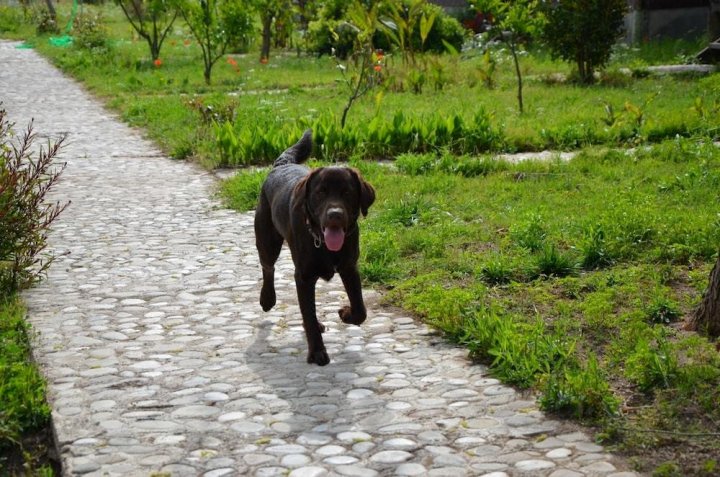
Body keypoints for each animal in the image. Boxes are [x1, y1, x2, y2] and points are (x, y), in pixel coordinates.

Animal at [255, 129, 376, 364]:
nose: (335, 215)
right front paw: (318, 352)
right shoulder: (303, 275)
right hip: (267, 240)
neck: (324, 244)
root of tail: (281, 165)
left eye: (347, 193)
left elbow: (360, 309)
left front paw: (346, 313)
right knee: (268, 268)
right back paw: (267, 298)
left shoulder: (350, 267)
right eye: (321, 192)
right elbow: (308, 315)